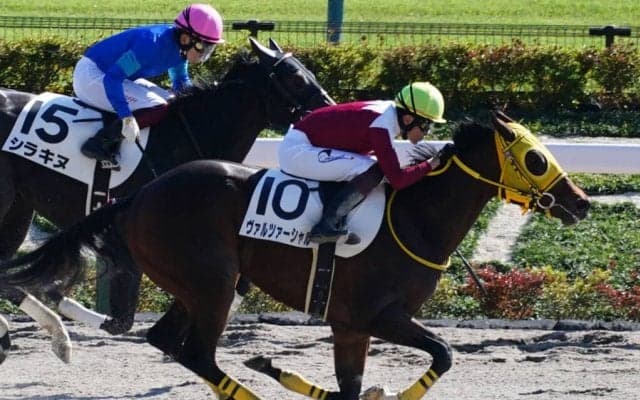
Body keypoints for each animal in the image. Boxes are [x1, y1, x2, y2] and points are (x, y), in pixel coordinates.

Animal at [0, 37, 334, 364]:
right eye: (296, 78)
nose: (330, 110)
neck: (185, 136)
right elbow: (121, 321)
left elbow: (239, 284)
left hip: (18, 209)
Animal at [0, 112, 589, 399]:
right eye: (536, 159)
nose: (580, 202)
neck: (414, 220)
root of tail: (138, 196)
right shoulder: (375, 315)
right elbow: (442, 354)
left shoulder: (351, 324)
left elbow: (354, 388)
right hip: (213, 283)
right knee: (199, 353)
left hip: (201, 285)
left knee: (170, 342)